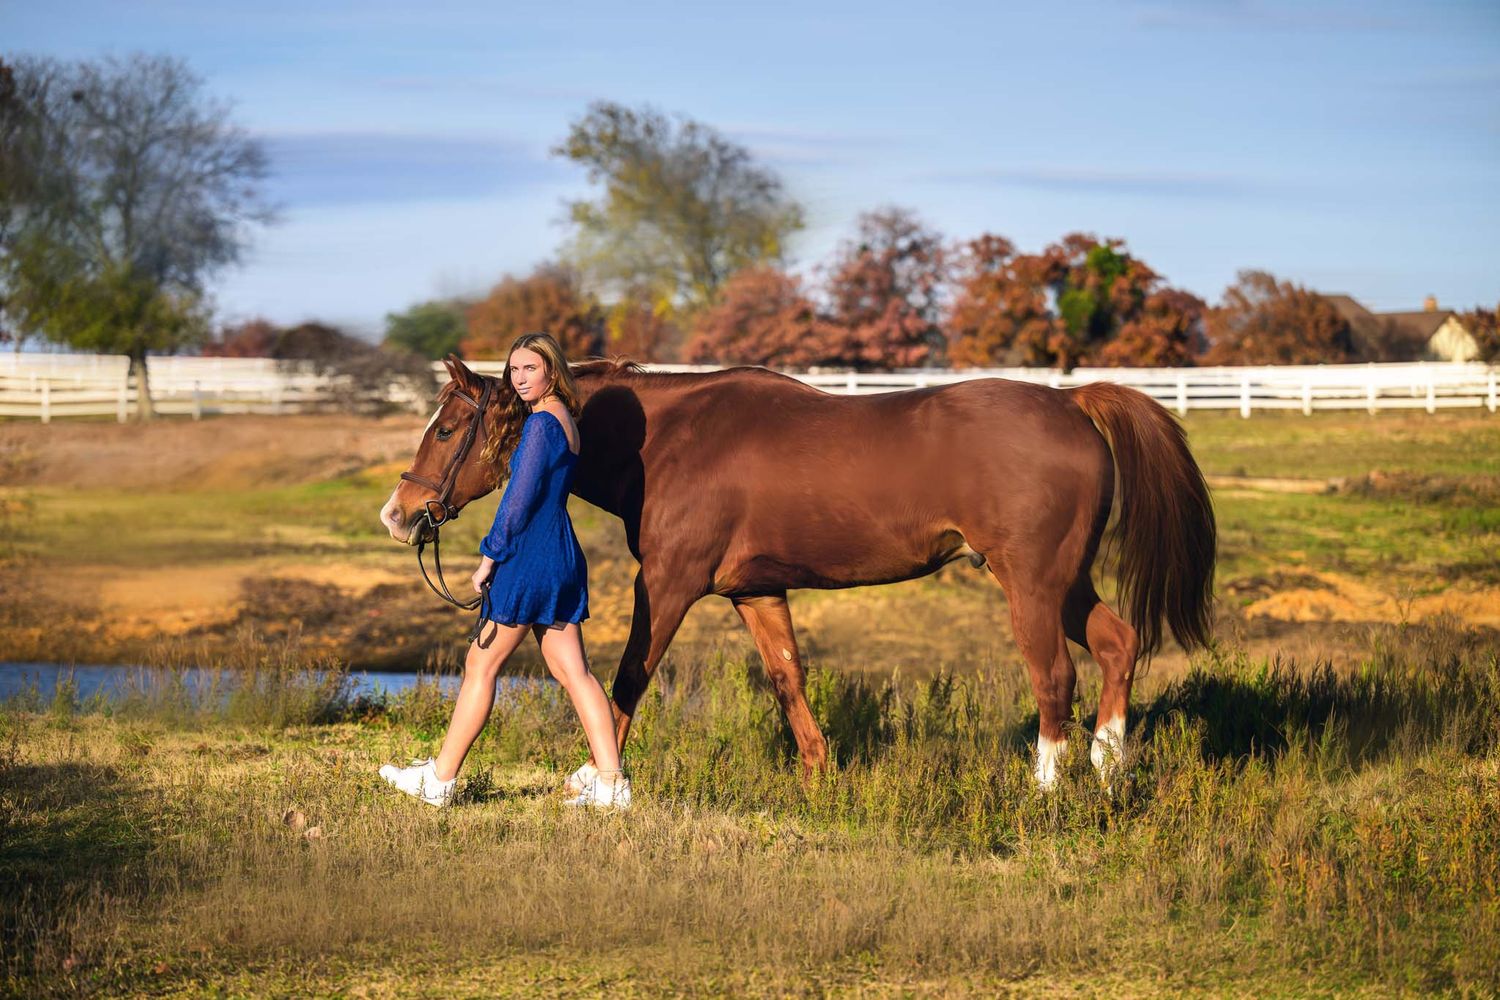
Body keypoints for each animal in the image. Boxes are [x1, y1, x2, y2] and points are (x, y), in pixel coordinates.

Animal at [380, 356, 1216, 787]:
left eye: (447, 428)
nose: (398, 512)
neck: (672, 437)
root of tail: (1073, 404)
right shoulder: (756, 591)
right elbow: (788, 678)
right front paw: (819, 776)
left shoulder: (670, 586)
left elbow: (627, 679)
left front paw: (600, 778)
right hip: (1068, 582)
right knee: (1116, 645)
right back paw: (1109, 770)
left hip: (1033, 584)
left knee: (1055, 677)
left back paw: (1045, 790)